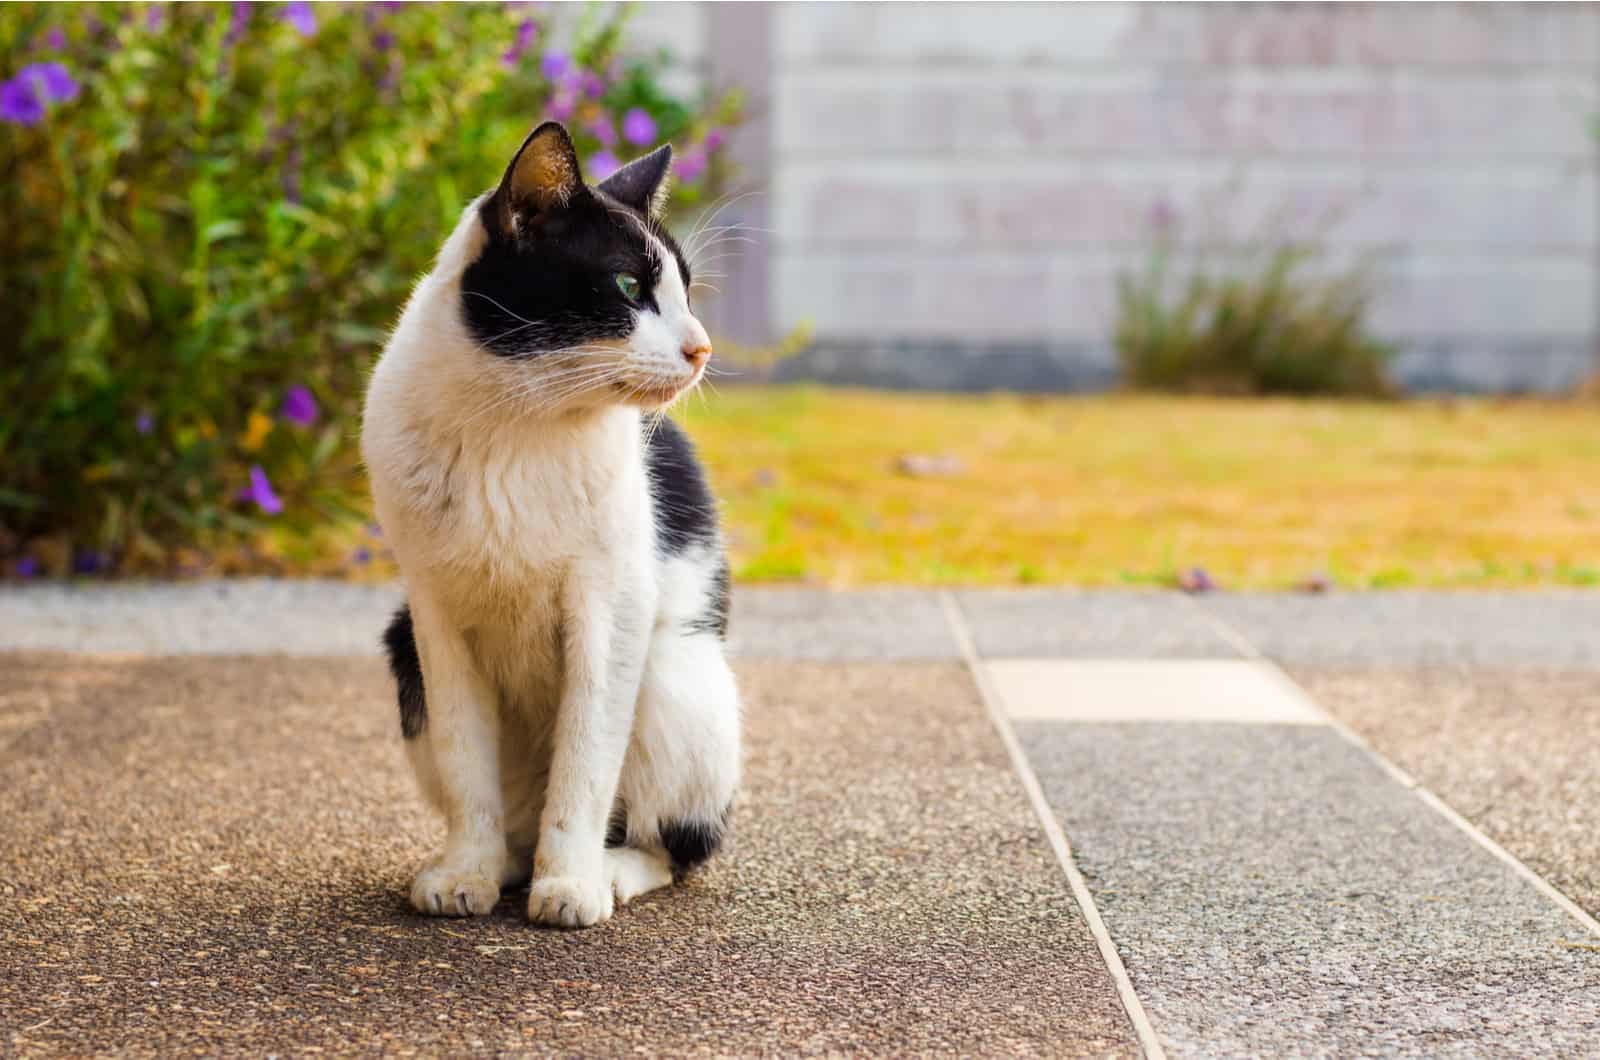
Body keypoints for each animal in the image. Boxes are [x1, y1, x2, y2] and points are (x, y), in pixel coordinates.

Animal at [360, 120, 739, 928]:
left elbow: (585, 764)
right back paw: (503, 861)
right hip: (403, 649)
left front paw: (568, 884)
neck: (514, 420)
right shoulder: (435, 613)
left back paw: (609, 868)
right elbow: (467, 762)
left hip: (676, 669)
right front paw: (465, 873)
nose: (700, 347)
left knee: (676, 843)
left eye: (686, 290)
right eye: (629, 287)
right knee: (511, 813)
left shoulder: (611, 605)